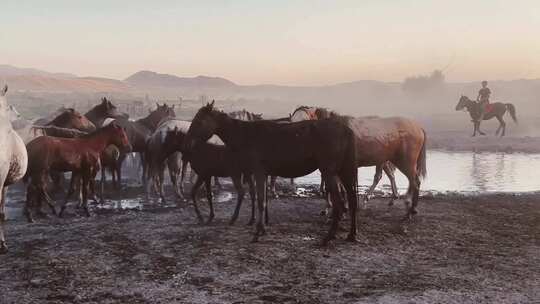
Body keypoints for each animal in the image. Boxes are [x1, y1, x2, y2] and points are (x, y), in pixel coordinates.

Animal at [185, 102, 358, 245]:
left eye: (199, 120)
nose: (188, 141)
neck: (247, 135)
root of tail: (345, 129)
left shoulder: (259, 172)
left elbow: (261, 201)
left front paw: (257, 232)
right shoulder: (260, 174)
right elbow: (262, 200)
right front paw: (261, 228)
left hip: (329, 172)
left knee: (339, 203)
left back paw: (328, 237)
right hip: (343, 172)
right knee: (351, 200)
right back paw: (351, 235)